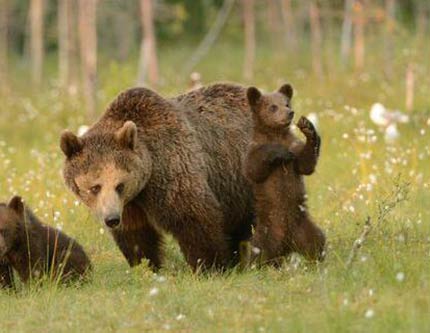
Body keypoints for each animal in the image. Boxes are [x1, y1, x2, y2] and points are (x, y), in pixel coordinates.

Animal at [60, 83, 255, 270]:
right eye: (95, 187)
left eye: (119, 185)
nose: (112, 219)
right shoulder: (130, 205)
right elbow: (137, 235)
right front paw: (146, 265)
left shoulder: (172, 171)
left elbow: (195, 218)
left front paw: (211, 265)